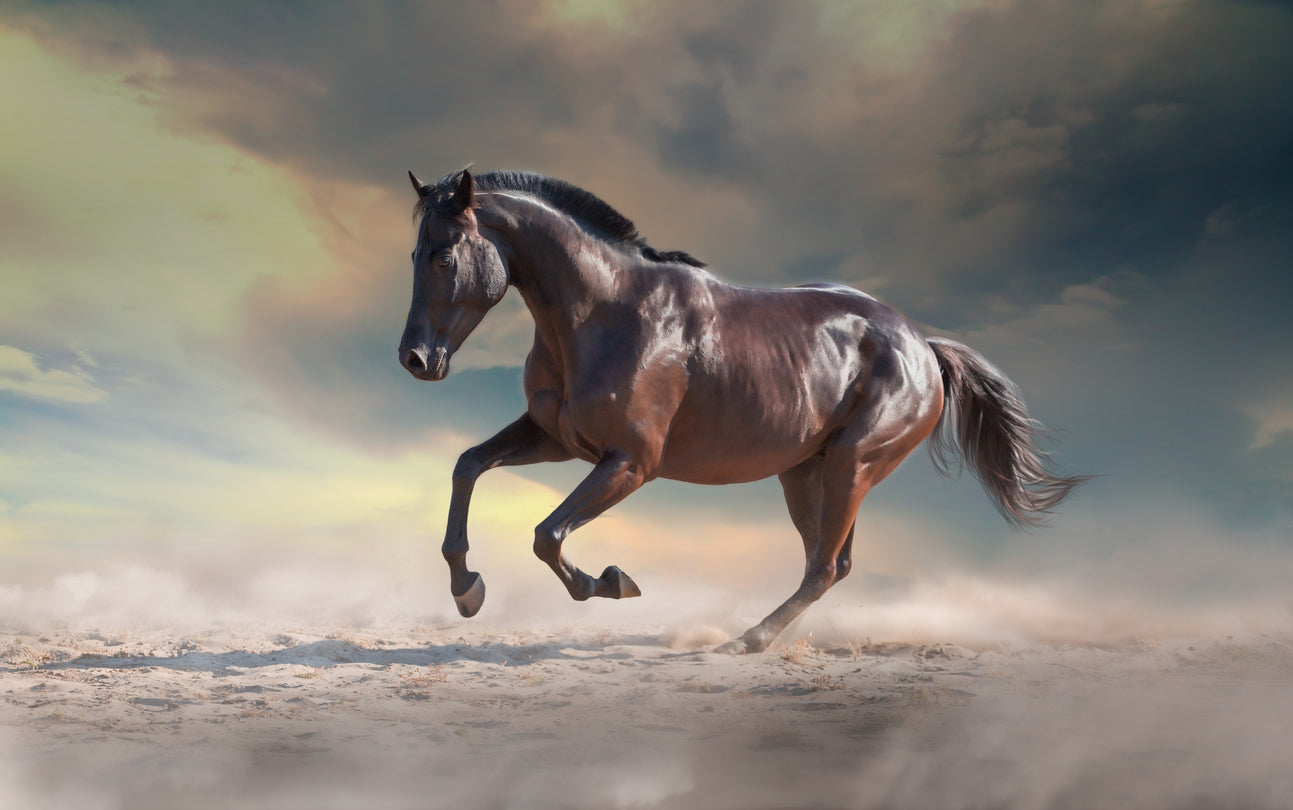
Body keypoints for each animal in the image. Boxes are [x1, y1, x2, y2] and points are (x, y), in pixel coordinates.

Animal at [398, 167, 1085, 653]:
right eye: (413, 254)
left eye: (443, 255)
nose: (415, 359)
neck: (603, 312)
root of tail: (923, 346)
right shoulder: (557, 439)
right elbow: (467, 465)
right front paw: (467, 590)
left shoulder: (630, 462)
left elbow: (548, 535)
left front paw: (611, 582)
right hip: (803, 473)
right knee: (828, 564)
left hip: (852, 466)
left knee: (824, 567)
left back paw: (742, 642)